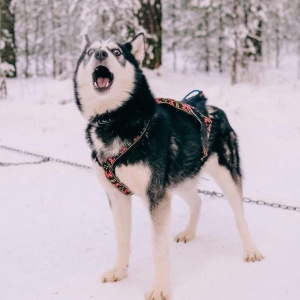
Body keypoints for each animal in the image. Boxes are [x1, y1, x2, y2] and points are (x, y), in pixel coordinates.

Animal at [74, 33, 264, 300]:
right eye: (90, 52)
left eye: (116, 52)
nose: (101, 55)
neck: (114, 121)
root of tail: (209, 105)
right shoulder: (118, 196)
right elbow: (122, 240)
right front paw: (119, 272)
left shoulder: (156, 197)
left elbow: (158, 249)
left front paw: (161, 288)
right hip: (180, 179)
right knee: (197, 201)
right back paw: (189, 233)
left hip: (226, 175)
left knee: (240, 216)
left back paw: (250, 249)